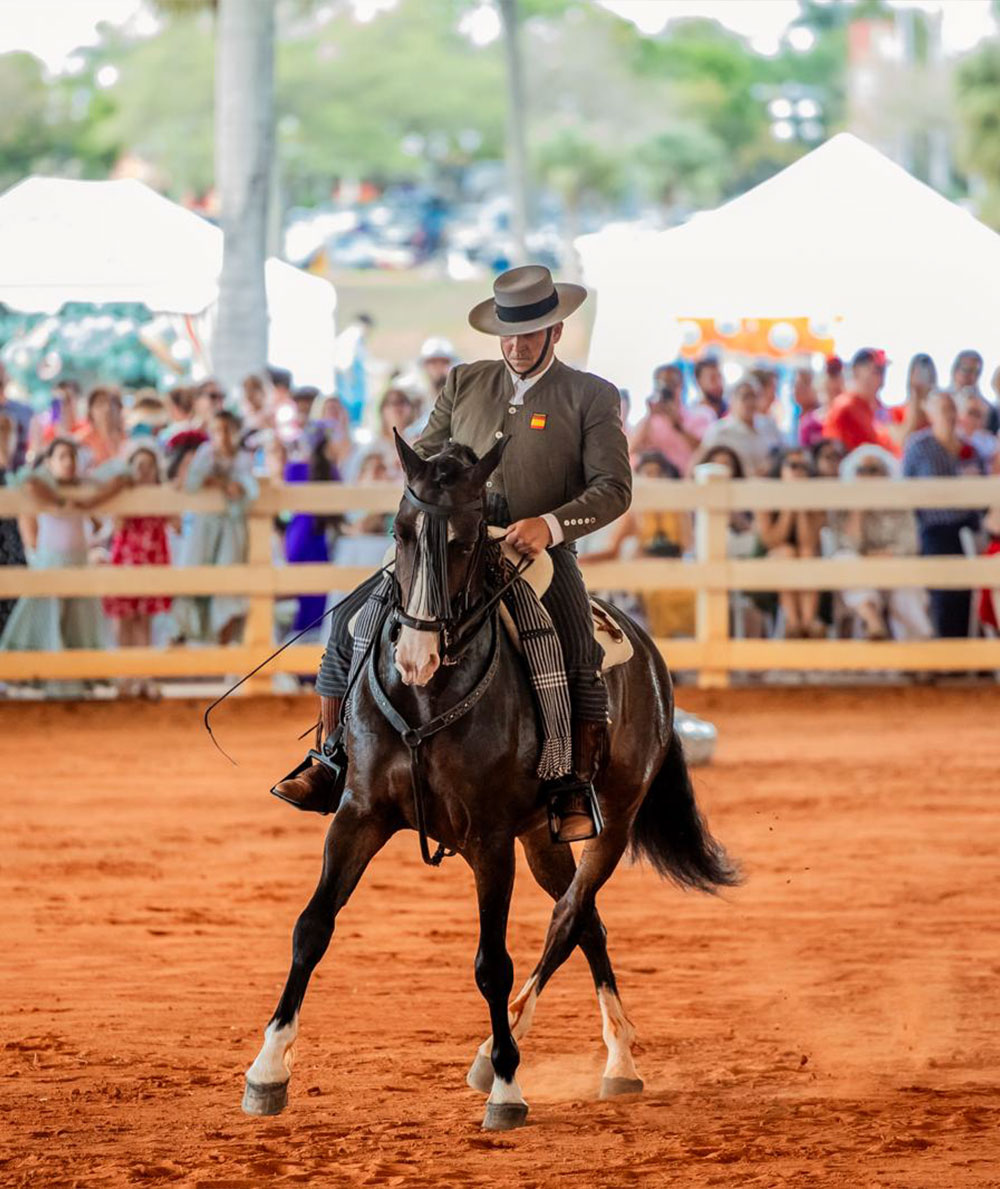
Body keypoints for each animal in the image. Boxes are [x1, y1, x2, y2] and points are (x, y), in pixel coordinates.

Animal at [243, 433, 739, 1131]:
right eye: (399, 530)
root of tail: (646, 650)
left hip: (610, 822)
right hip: (543, 837)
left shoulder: (491, 840)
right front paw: (267, 1070)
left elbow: (492, 964)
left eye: (465, 539)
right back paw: (615, 1060)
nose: (414, 658)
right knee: (588, 923)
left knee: (567, 920)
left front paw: (507, 1087)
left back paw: (517, 1057)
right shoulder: (359, 814)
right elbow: (312, 928)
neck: (430, 697)